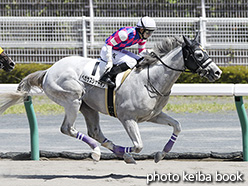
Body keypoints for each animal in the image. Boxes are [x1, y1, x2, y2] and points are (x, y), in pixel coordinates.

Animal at [0, 36, 221, 163]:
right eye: (199, 54)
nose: (217, 72)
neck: (151, 79)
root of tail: (48, 71)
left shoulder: (152, 115)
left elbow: (177, 126)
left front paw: (160, 154)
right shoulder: (127, 118)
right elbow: (138, 145)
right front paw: (129, 153)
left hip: (88, 107)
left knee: (95, 132)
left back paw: (107, 150)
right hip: (73, 99)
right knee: (67, 128)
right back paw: (99, 152)